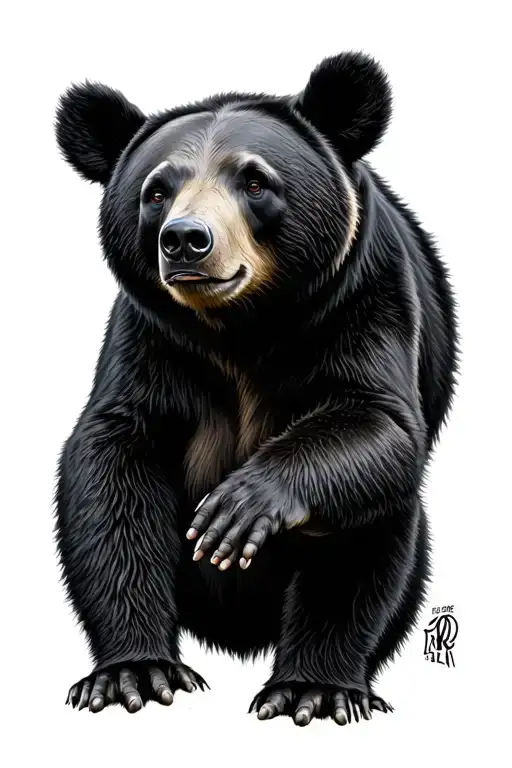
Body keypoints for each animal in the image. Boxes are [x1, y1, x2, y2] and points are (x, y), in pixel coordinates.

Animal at [54, 50, 458, 726]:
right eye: (157, 190)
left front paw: (238, 507)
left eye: (255, 182)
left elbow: (376, 424)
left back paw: (318, 685)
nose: (186, 240)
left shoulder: (364, 300)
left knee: (377, 531)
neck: (243, 330)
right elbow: (114, 461)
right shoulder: (152, 342)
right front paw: (134, 672)